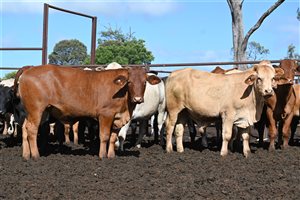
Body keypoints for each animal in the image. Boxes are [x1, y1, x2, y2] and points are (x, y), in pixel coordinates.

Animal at [17, 64, 161, 159]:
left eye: (144, 82)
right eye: (129, 82)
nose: (138, 99)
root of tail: (29, 69)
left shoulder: (117, 118)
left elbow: (113, 137)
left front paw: (111, 156)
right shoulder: (105, 115)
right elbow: (105, 136)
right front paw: (102, 156)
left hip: (37, 112)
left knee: (24, 128)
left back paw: (26, 155)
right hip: (36, 110)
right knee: (32, 130)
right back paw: (36, 155)